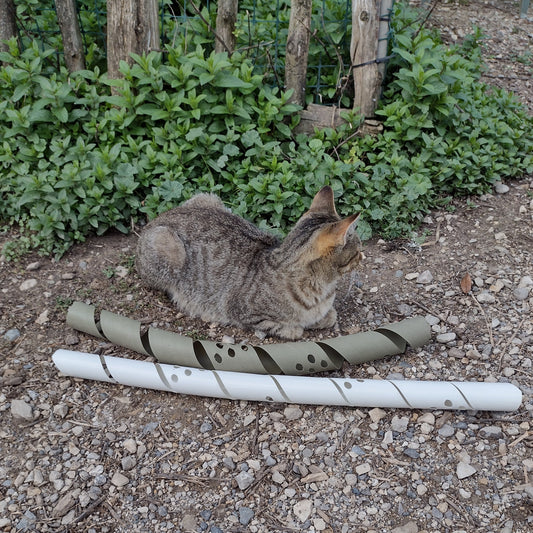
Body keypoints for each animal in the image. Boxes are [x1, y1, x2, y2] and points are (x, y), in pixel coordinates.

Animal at [135, 185, 364, 338]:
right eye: (357, 250)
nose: (363, 256)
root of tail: (153, 222)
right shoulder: (243, 312)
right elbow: (290, 328)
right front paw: (297, 326)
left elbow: (329, 315)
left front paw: (323, 316)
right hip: (167, 244)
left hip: (209, 197)